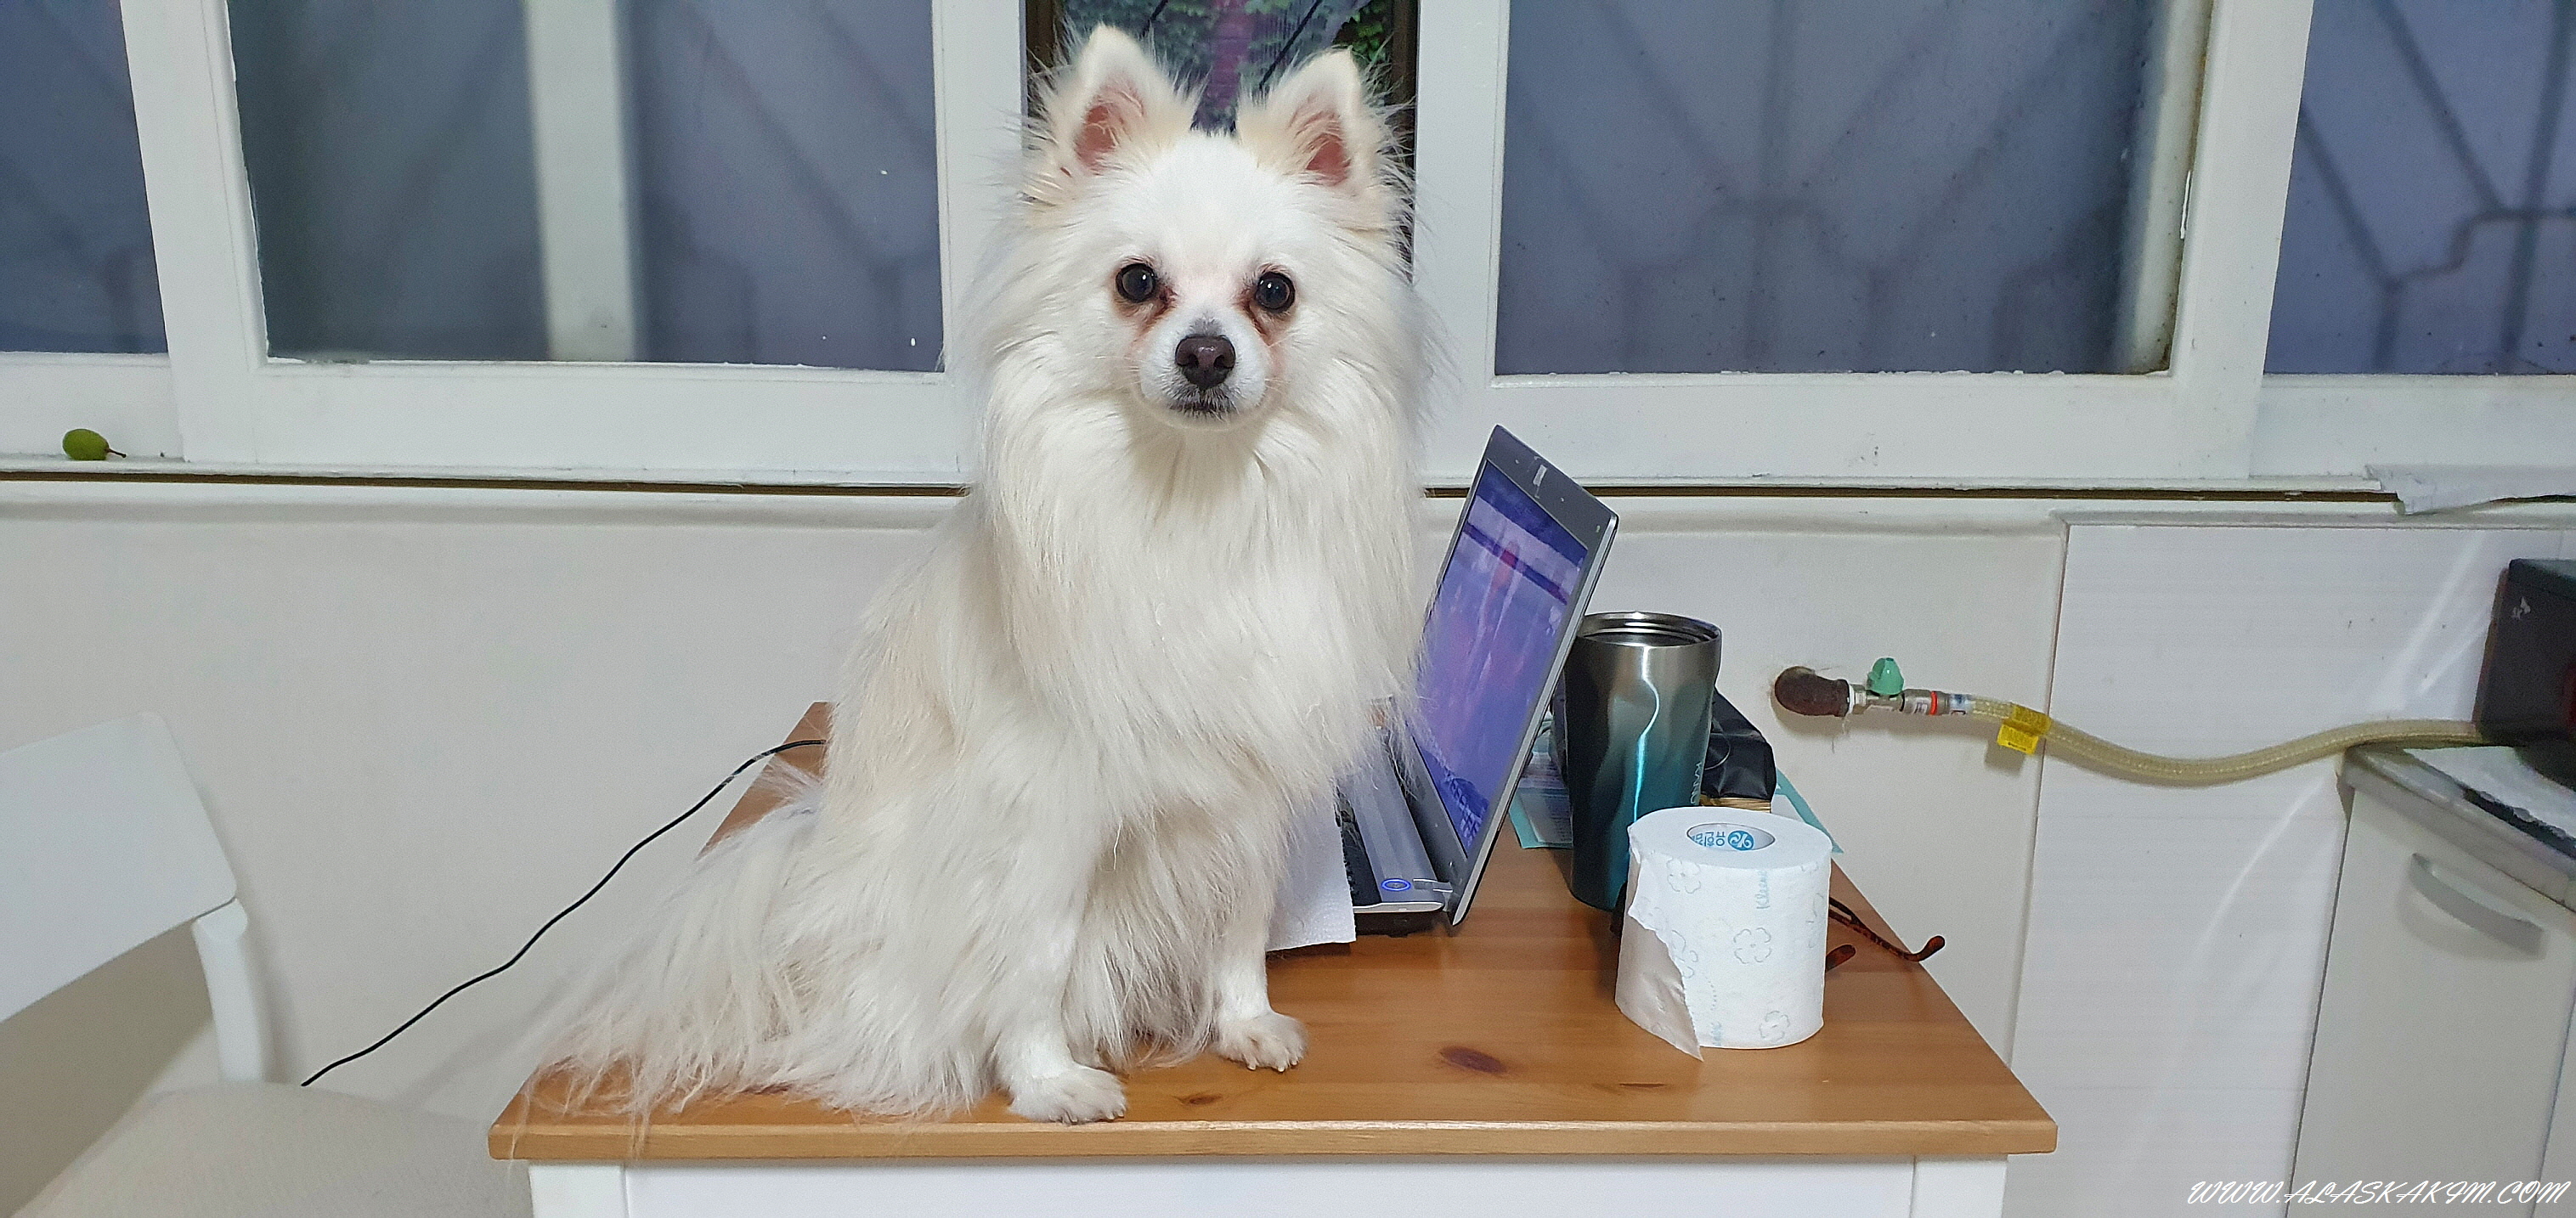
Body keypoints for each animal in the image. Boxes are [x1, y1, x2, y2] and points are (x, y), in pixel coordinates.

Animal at [538, 27, 1421, 1124]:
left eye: (1274, 293)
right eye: (1138, 283)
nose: (1206, 353)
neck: (1189, 499)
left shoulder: (1245, 794)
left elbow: (1238, 924)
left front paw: (1243, 1023)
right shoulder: (1046, 819)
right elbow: (1036, 959)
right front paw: (1045, 1082)